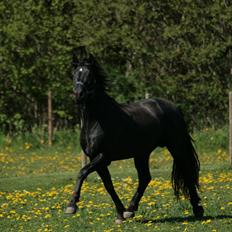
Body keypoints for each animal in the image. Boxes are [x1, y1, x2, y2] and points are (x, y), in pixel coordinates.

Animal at [64, 47, 204, 223]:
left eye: (89, 76)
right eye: (75, 74)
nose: (78, 94)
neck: (97, 120)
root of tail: (173, 107)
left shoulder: (104, 156)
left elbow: (82, 172)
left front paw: (71, 205)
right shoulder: (96, 158)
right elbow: (108, 185)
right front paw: (120, 213)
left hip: (176, 147)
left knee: (186, 171)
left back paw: (197, 209)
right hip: (141, 154)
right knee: (145, 178)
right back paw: (130, 209)